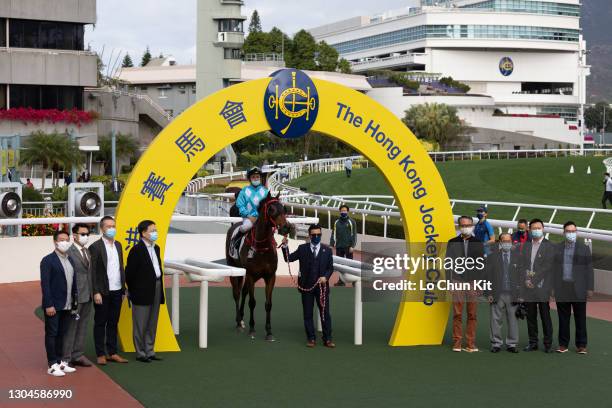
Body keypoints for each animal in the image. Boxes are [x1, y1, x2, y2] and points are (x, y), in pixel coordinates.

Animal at [225, 193, 292, 340]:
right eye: (271, 209)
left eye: (284, 208)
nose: (286, 227)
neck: (261, 248)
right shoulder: (251, 275)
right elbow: (252, 302)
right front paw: (252, 329)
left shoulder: (270, 276)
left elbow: (268, 304)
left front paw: (269, 331)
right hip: (234, 268)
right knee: (237, 293)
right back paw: (238, 323)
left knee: (243, 291)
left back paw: (241, 319)